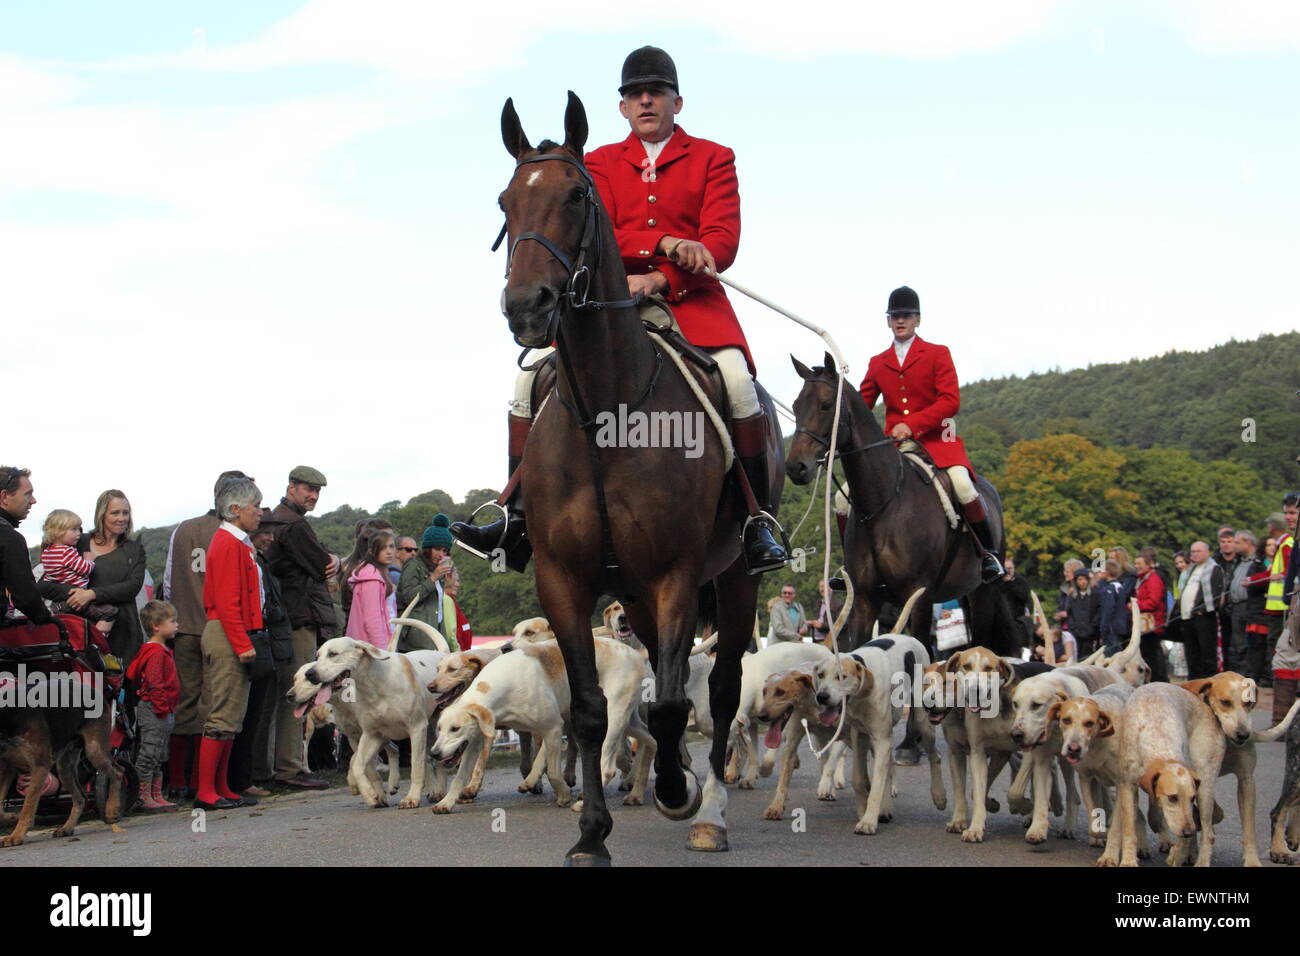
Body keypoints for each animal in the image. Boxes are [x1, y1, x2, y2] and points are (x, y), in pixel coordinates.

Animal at [491, 93, 780, 863]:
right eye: (505, 202)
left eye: (575, 195)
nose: (526, 307)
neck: (606, 412)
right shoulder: (564, 579)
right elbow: (594, 711)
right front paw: (592, 833)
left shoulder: (676, 572)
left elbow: (678, 700)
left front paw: (679, 793)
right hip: (634, 596)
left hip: (733, 580)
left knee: (719, 690)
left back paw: (706, 807)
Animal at [780, 356, 1013, 660]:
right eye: (796, 405)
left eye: (826, 404)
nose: (795, 467)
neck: (884, 505)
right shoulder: (864, 600)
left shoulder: (919, 597)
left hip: (983, 594)